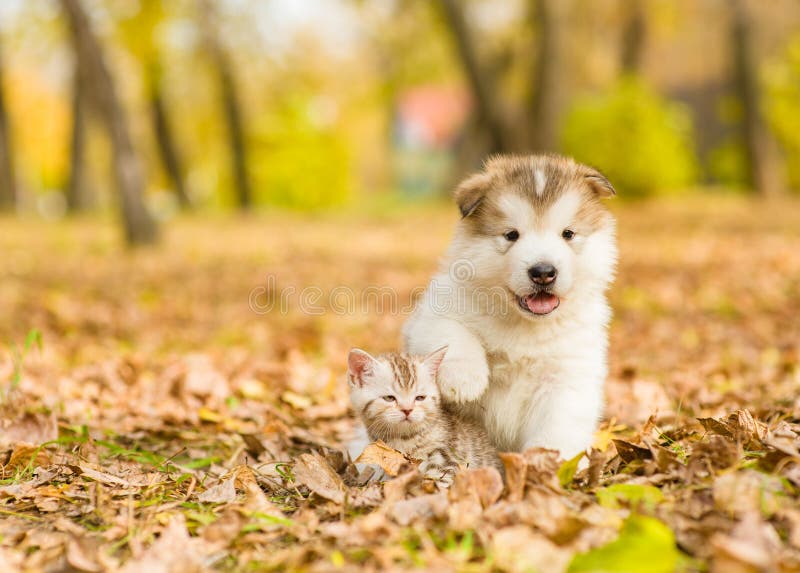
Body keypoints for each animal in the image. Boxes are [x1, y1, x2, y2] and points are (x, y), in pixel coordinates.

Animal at [400, 154, 620, 458]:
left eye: (568, 234)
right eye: (511, 235)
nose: (543, 272)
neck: (524, 324)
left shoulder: (568, 373)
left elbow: (558, 427)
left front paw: (548, 462)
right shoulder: (433, 314)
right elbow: (453, 334)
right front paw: (464, 379)